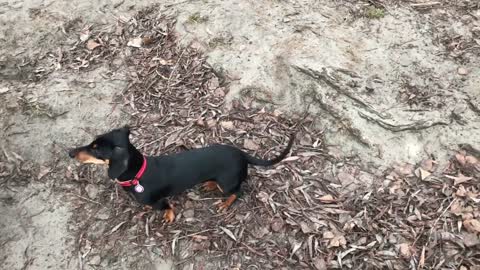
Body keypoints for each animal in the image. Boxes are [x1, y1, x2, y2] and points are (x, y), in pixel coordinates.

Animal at [67, 127, 292, 223]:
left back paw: (225, 203)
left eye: (96, 149)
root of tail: (242, 154)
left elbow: (167, 207)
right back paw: (209, 184)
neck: (138, 174)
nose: (69, 152)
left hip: (228, 184)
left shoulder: (159, 200)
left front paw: (168, 216)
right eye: (92, 143)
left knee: (238, 192)